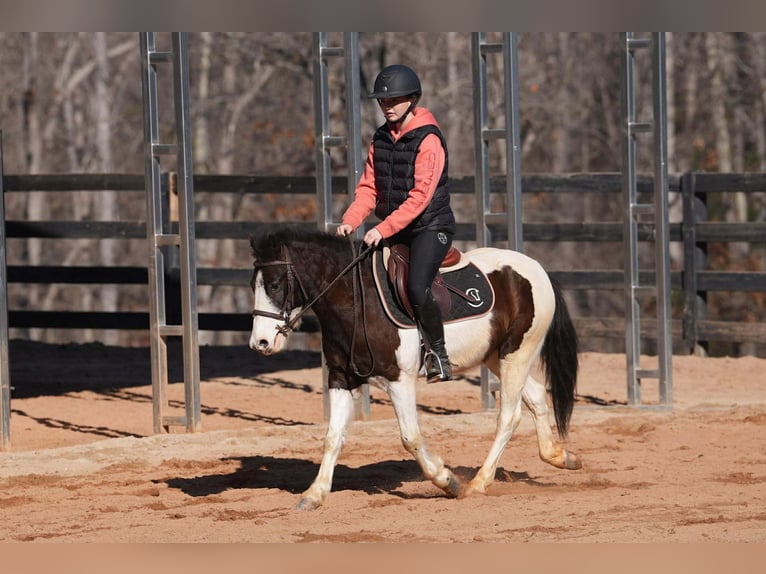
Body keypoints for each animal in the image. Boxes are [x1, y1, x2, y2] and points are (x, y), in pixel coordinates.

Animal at [248, 227, 581, 510]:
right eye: (254, 285)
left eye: (275, 285)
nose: (260, 343)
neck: (358, 299)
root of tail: (536, 269)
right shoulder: (342, 378)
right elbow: (332, 436)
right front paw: (314, 495)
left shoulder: (399, 380)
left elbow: (410, 437)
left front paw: (448, 480)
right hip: (496, 357)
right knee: (536, 396)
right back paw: (560, 456)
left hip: (517, 354)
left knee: (509, 416)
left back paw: (478, 483)